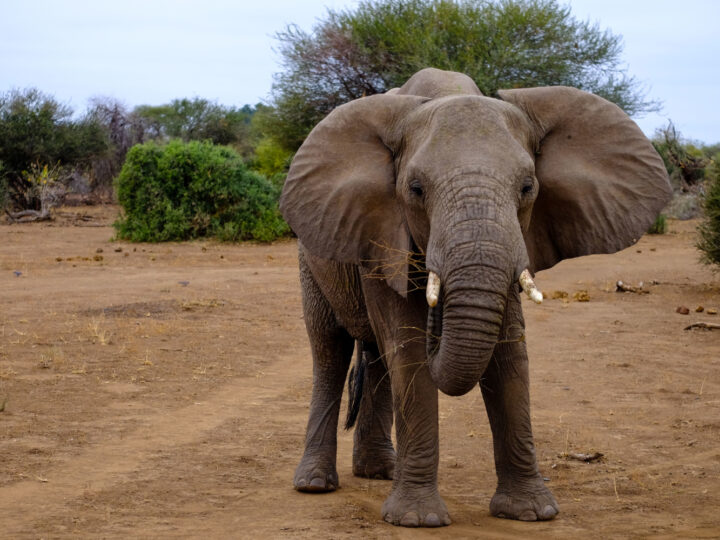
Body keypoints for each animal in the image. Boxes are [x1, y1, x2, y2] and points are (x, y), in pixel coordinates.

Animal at [278, 67, 672, 528]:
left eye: (527, 187)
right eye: (415, 189)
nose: (438, 313)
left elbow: (508, 353)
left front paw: (531, 512)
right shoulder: (381, 232)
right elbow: (408, 347)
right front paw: (417, 520)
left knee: (376, 358)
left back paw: (380, 471)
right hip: (312, 253)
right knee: (331, 350)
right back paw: (314, 484)